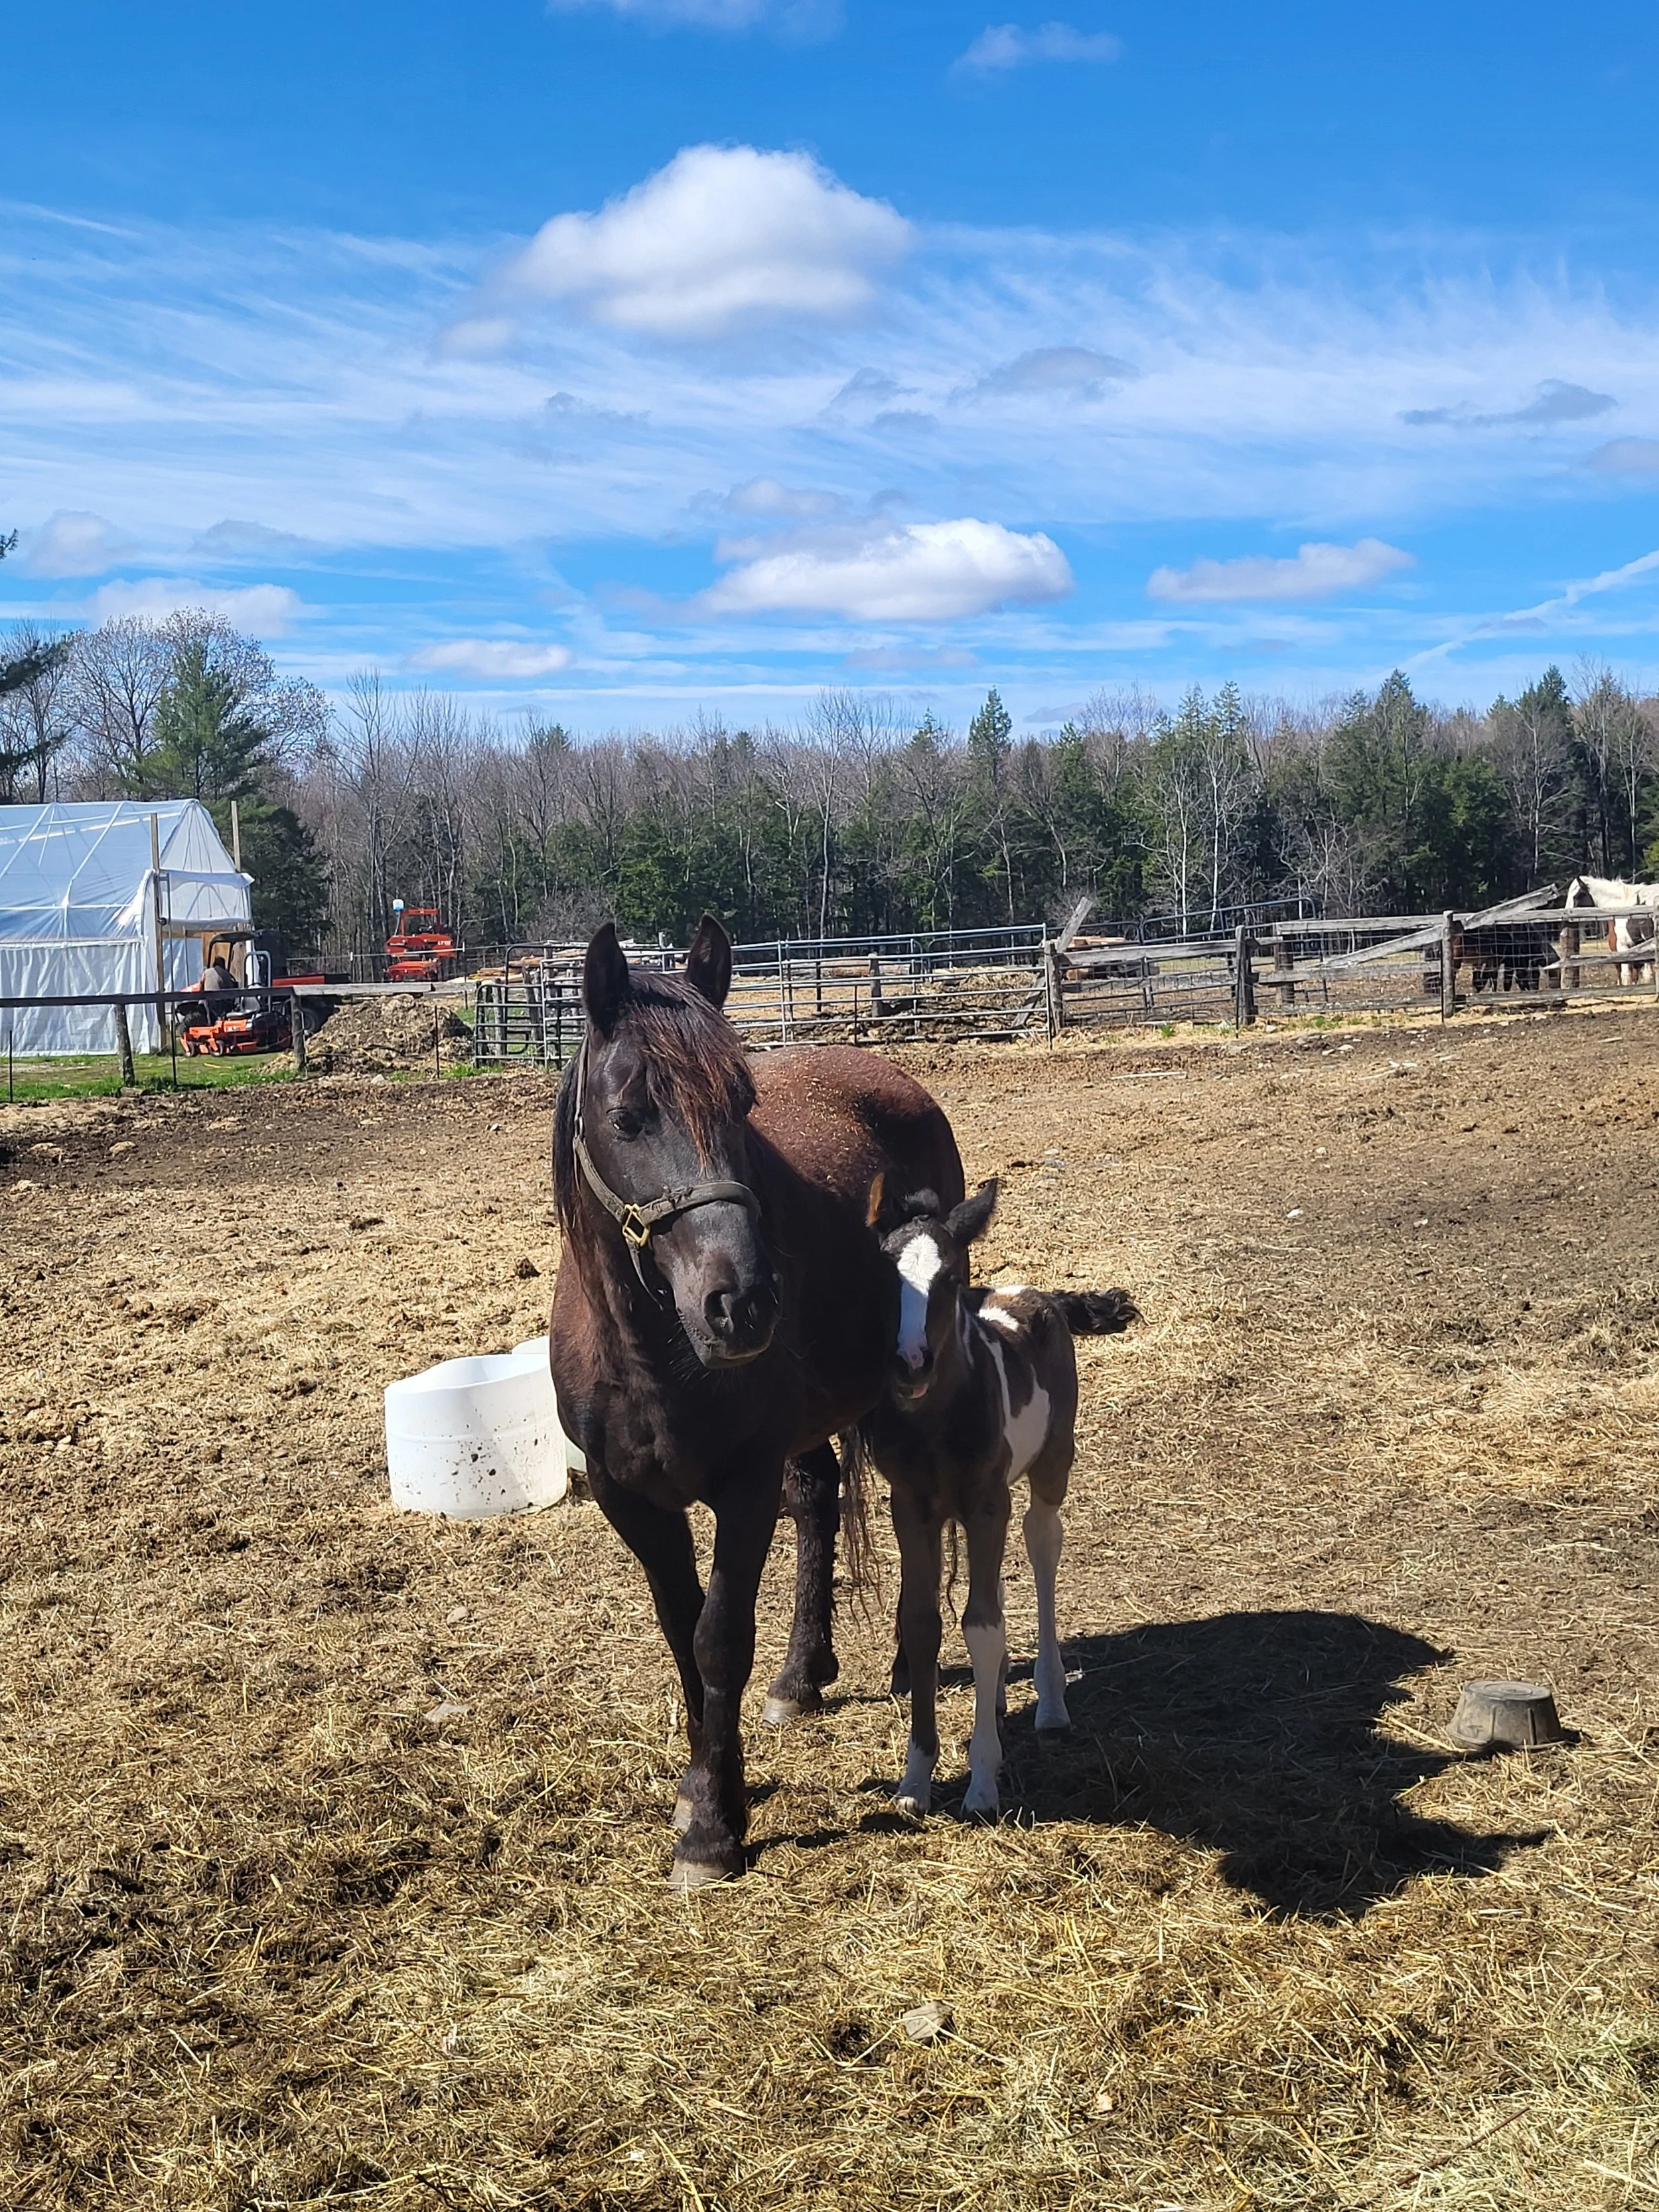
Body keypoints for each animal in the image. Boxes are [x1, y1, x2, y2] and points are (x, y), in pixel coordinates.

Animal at [548, 917, 964, 1886]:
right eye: (627, 1117)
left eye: (742, 1106)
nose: (743, 1302)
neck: (649, 1353)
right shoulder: (629, 1500)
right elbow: (680, 1630)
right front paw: (707, 1789)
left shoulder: (742, 1486)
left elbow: (717, 1638)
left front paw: (711, 1826)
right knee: (817, 1503)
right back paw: (801, 1677)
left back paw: (900, 1660)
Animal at [855, 1179, 1137, 1819]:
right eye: (882, 1275)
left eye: (949, 1278)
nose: (909, 1364)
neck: (935, 1422)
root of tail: (1041, 1294)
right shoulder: (911, 1505)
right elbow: (921, 1622)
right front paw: (915, 1781)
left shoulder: (986, 1502)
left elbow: (981, 1625)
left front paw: (982, 1781)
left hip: (1052, 1463)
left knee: (1042, 1544)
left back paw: (1050, 1703)